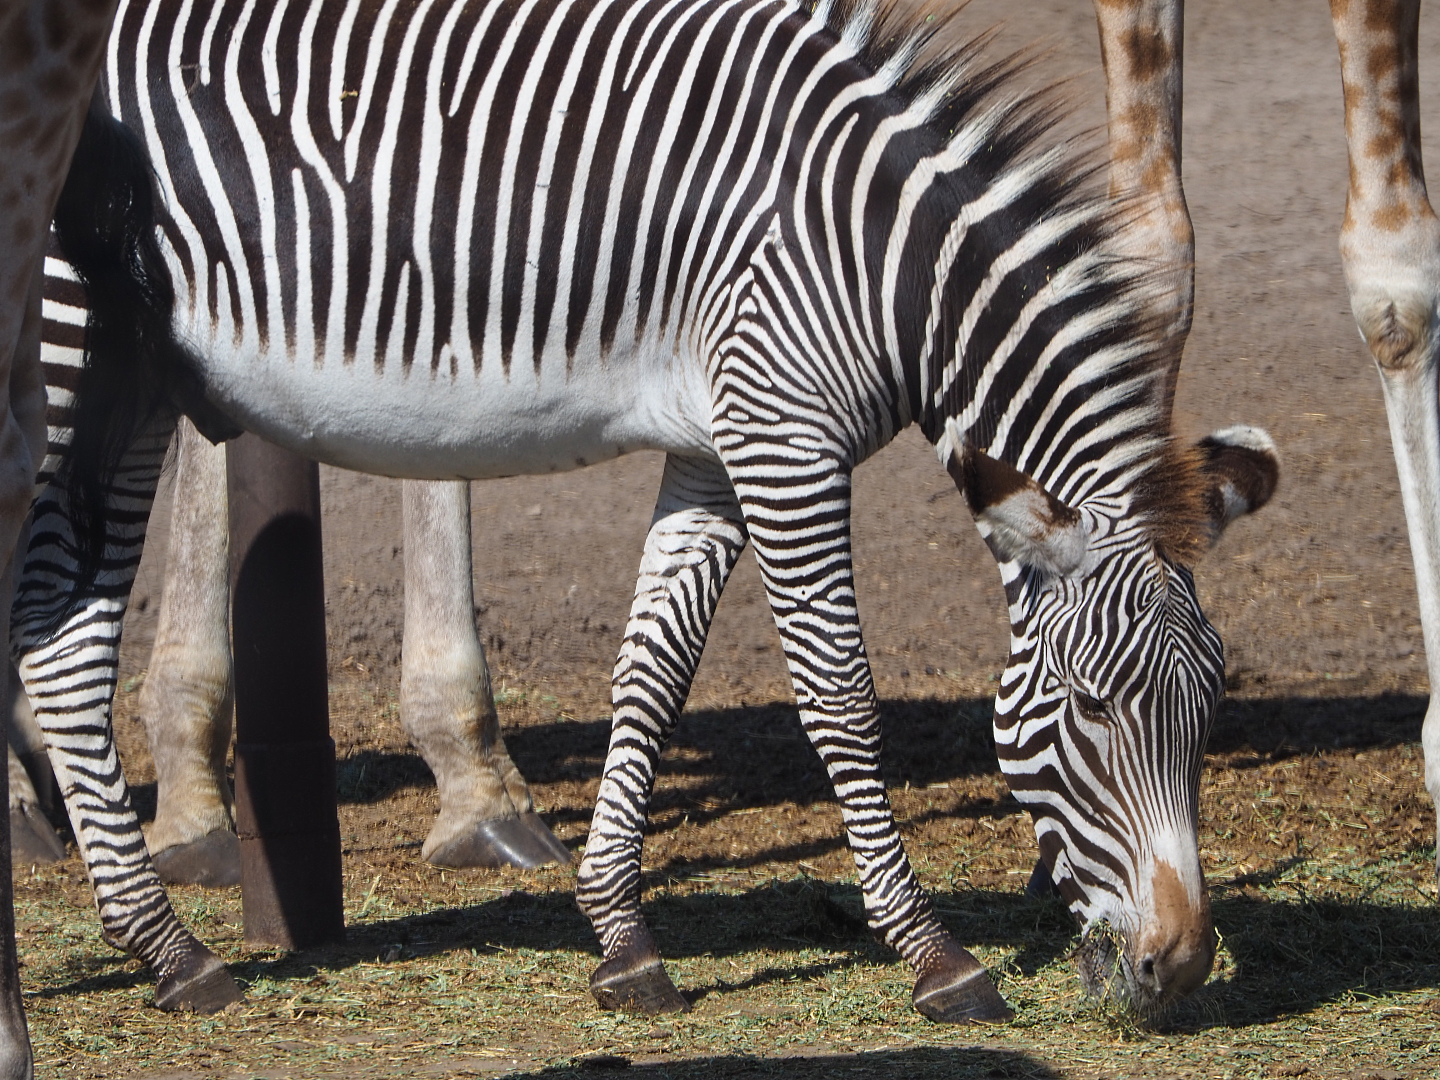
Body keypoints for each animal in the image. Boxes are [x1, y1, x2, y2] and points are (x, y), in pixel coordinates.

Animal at [20, 0, 1279, 1023]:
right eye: (1091, 709)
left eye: (1212, 702)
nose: (1180, 968)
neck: (875, 257)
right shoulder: (785, 436)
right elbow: (839, 698)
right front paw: (935, 957)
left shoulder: (715, 449)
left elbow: (654, 674)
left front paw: (621, 939)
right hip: (67, 354)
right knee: (52, 633)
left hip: (134, 381)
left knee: (63, 637)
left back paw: (169, 954)